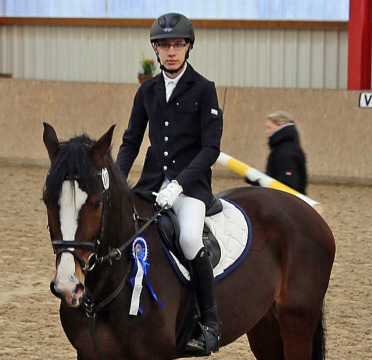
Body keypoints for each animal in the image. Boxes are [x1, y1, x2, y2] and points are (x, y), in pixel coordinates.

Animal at [42, 122, 336, 358]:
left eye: (95, 204)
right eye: (47, 200)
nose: (68, 286)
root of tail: (309, 212)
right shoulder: (88, 353)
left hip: (296, 321)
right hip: (264, 324)